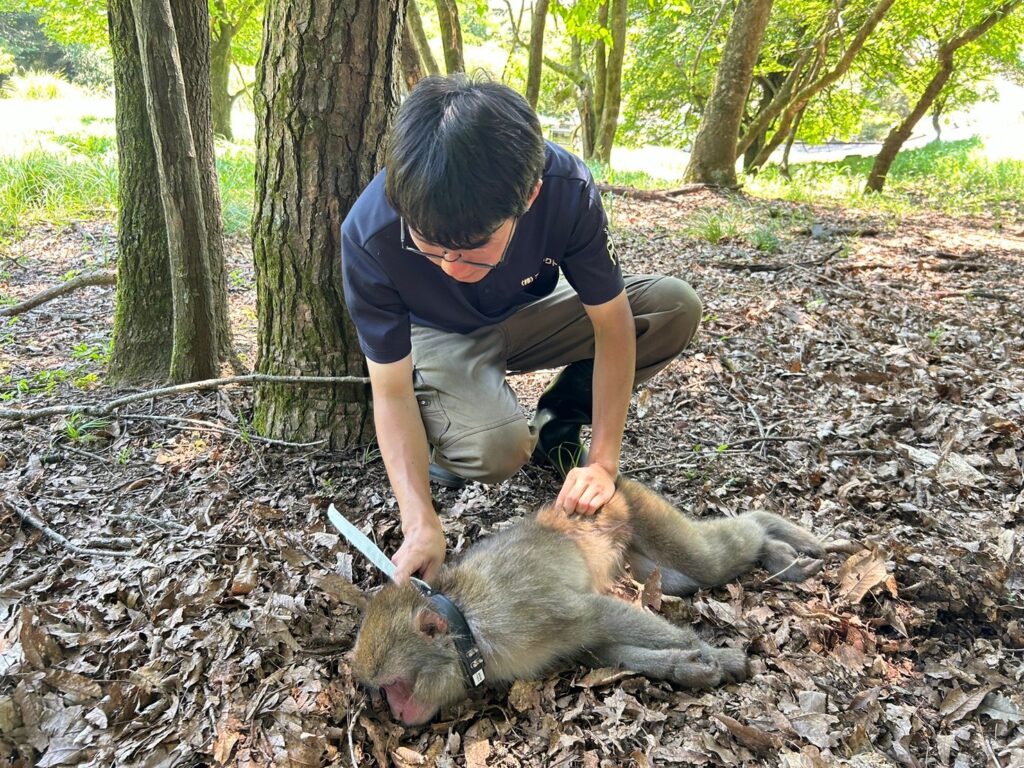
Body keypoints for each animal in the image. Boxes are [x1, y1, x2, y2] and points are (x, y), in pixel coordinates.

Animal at [352, 479, 823, 724]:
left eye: (396, 686)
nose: (396, 713)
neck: (467, 629)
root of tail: (612, 483)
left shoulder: (518, 619)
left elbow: (596, 615)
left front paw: (716, 656)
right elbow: (600, 647)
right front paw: (683, 666)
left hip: (640, 508)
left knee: (710, 561)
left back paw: (776, 536)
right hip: (639, 556)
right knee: (685, 577)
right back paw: (777, 554)